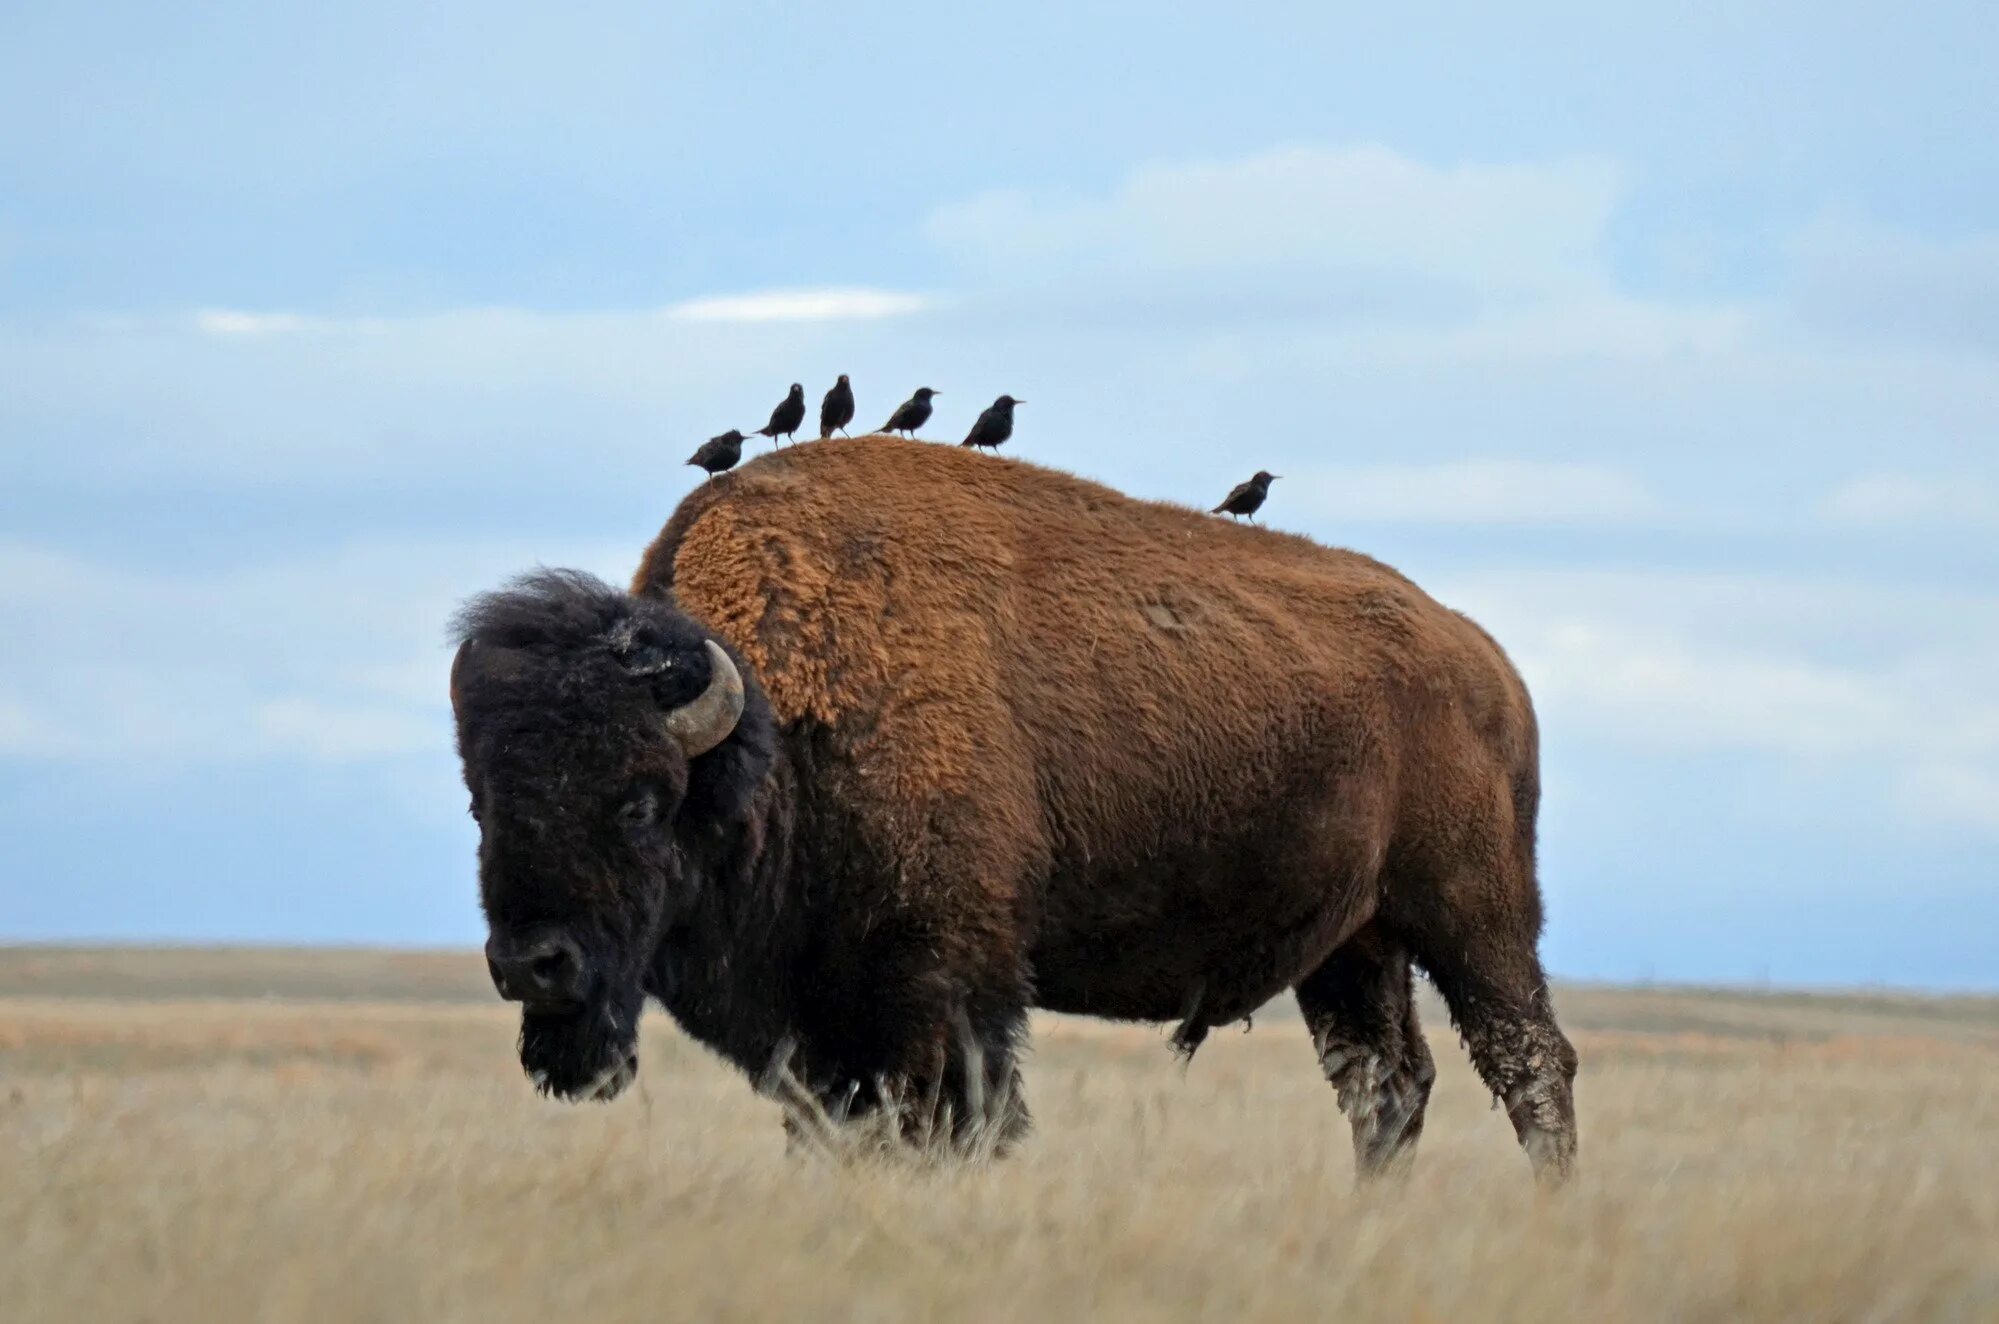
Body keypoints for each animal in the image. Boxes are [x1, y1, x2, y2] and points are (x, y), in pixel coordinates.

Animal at [449, 440, 1575, 1184]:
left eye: (642, 802)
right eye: (481, 803)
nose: (533, 965)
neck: (775, 730)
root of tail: (1482, 657)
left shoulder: (938, 987)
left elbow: (947, 1122)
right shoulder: (821, 1022)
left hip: (1473, 914)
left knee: (1527, 1063)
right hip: (1351, 946)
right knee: (1385, 1085)